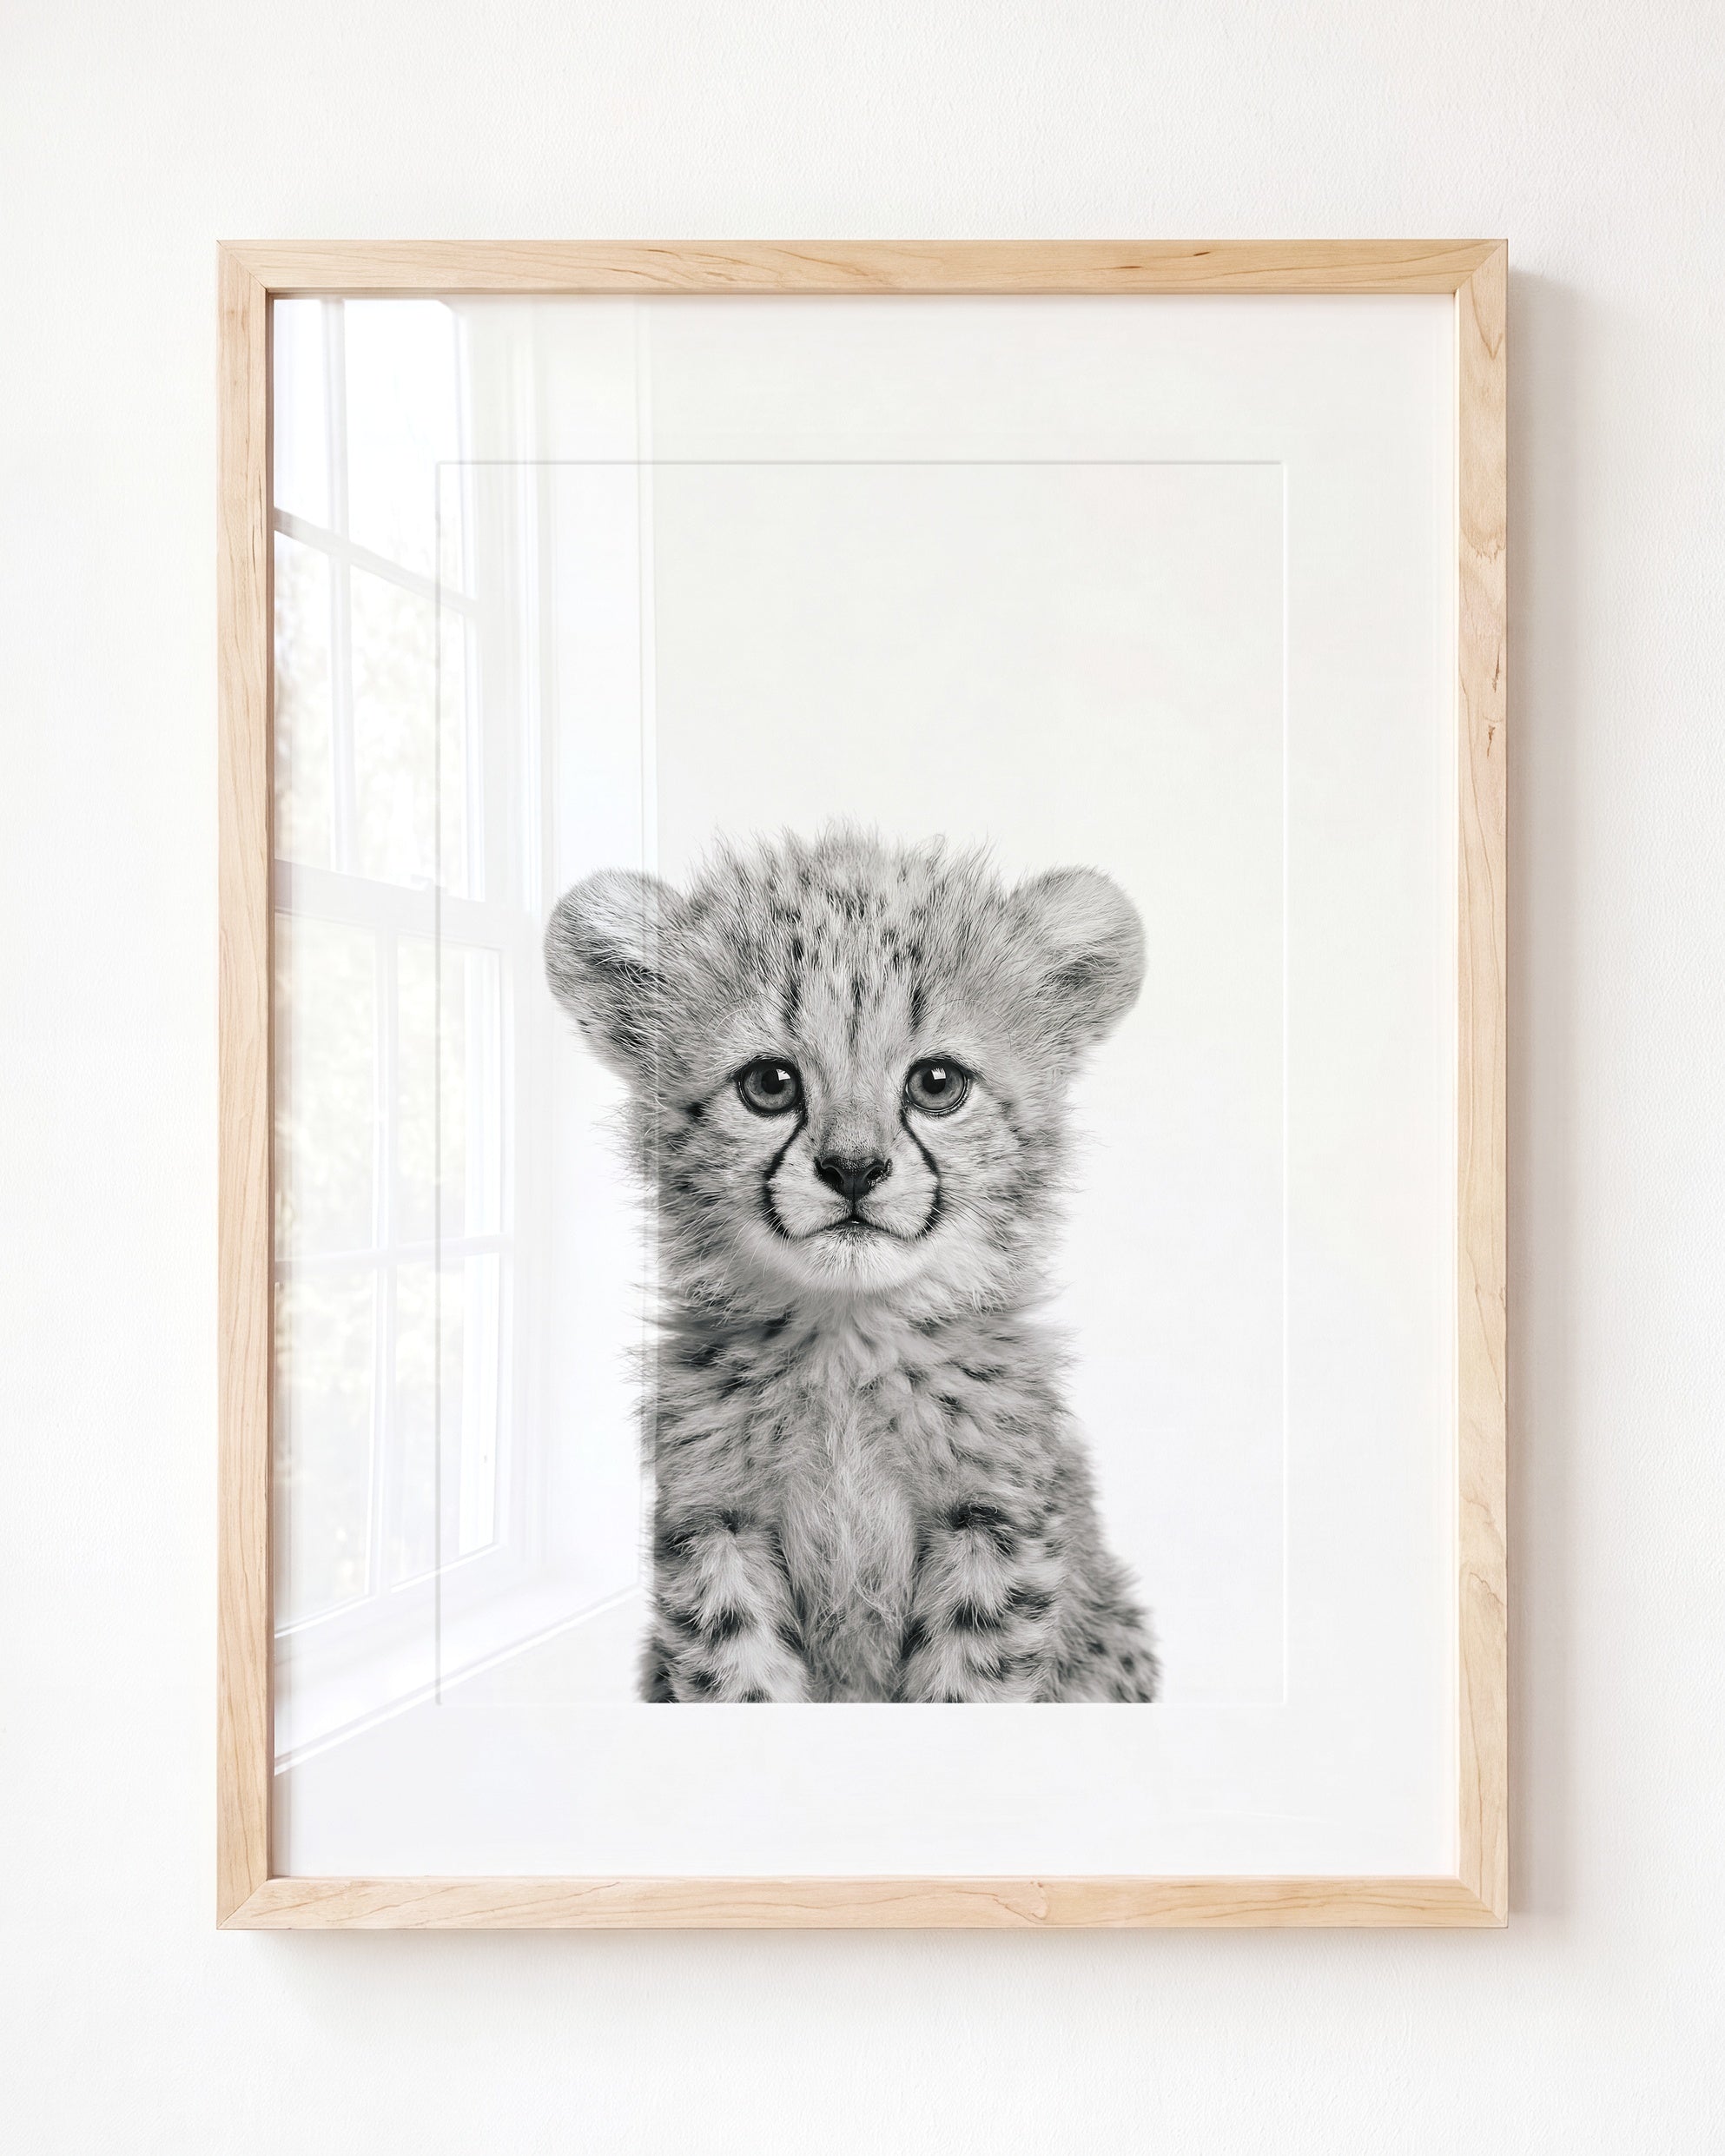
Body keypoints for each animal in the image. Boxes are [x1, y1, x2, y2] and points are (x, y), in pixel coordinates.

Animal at [543, 826, 1159, 1702]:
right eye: (769, 1084)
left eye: (937, 1083)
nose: (855, 1169)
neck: (847, 1340)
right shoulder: (715, 1525)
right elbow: (741, 1674)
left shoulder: (994, 1525)